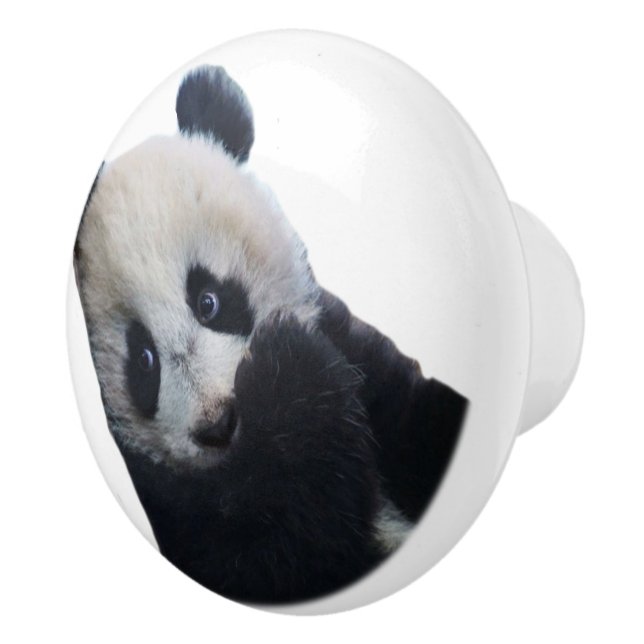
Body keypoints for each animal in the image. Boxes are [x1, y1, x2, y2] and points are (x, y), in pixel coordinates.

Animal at [74, 66, 468, 604]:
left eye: (209, 301)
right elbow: (282, 558)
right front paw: (290, 375)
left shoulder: (361, 360)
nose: (219, 423)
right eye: (143, 361)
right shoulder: (171, 502)